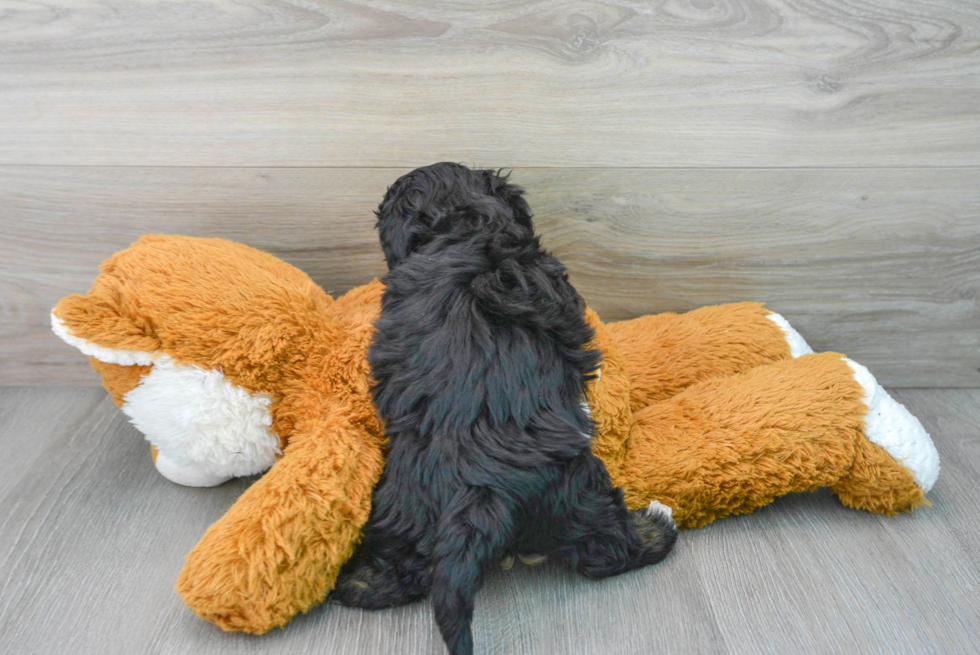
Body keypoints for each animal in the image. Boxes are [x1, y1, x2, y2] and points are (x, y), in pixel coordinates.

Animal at [330, 164, 672, 655]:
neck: (460, 228)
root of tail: (476, 489)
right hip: (578, 491)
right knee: (605, 548)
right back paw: (656, 529)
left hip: (403, 510)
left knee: (398, 573)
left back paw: (354, 583)